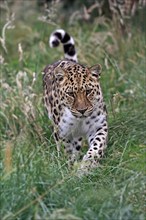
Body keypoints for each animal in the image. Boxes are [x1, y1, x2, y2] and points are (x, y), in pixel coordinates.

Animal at [42, 29, 108, 173]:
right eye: (71, 94)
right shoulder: (62, 132)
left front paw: (89, 162)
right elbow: (67, 150)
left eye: (88, 91)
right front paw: (70, 166)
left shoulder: (98, 125)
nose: (82, 110)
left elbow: (97, 145)